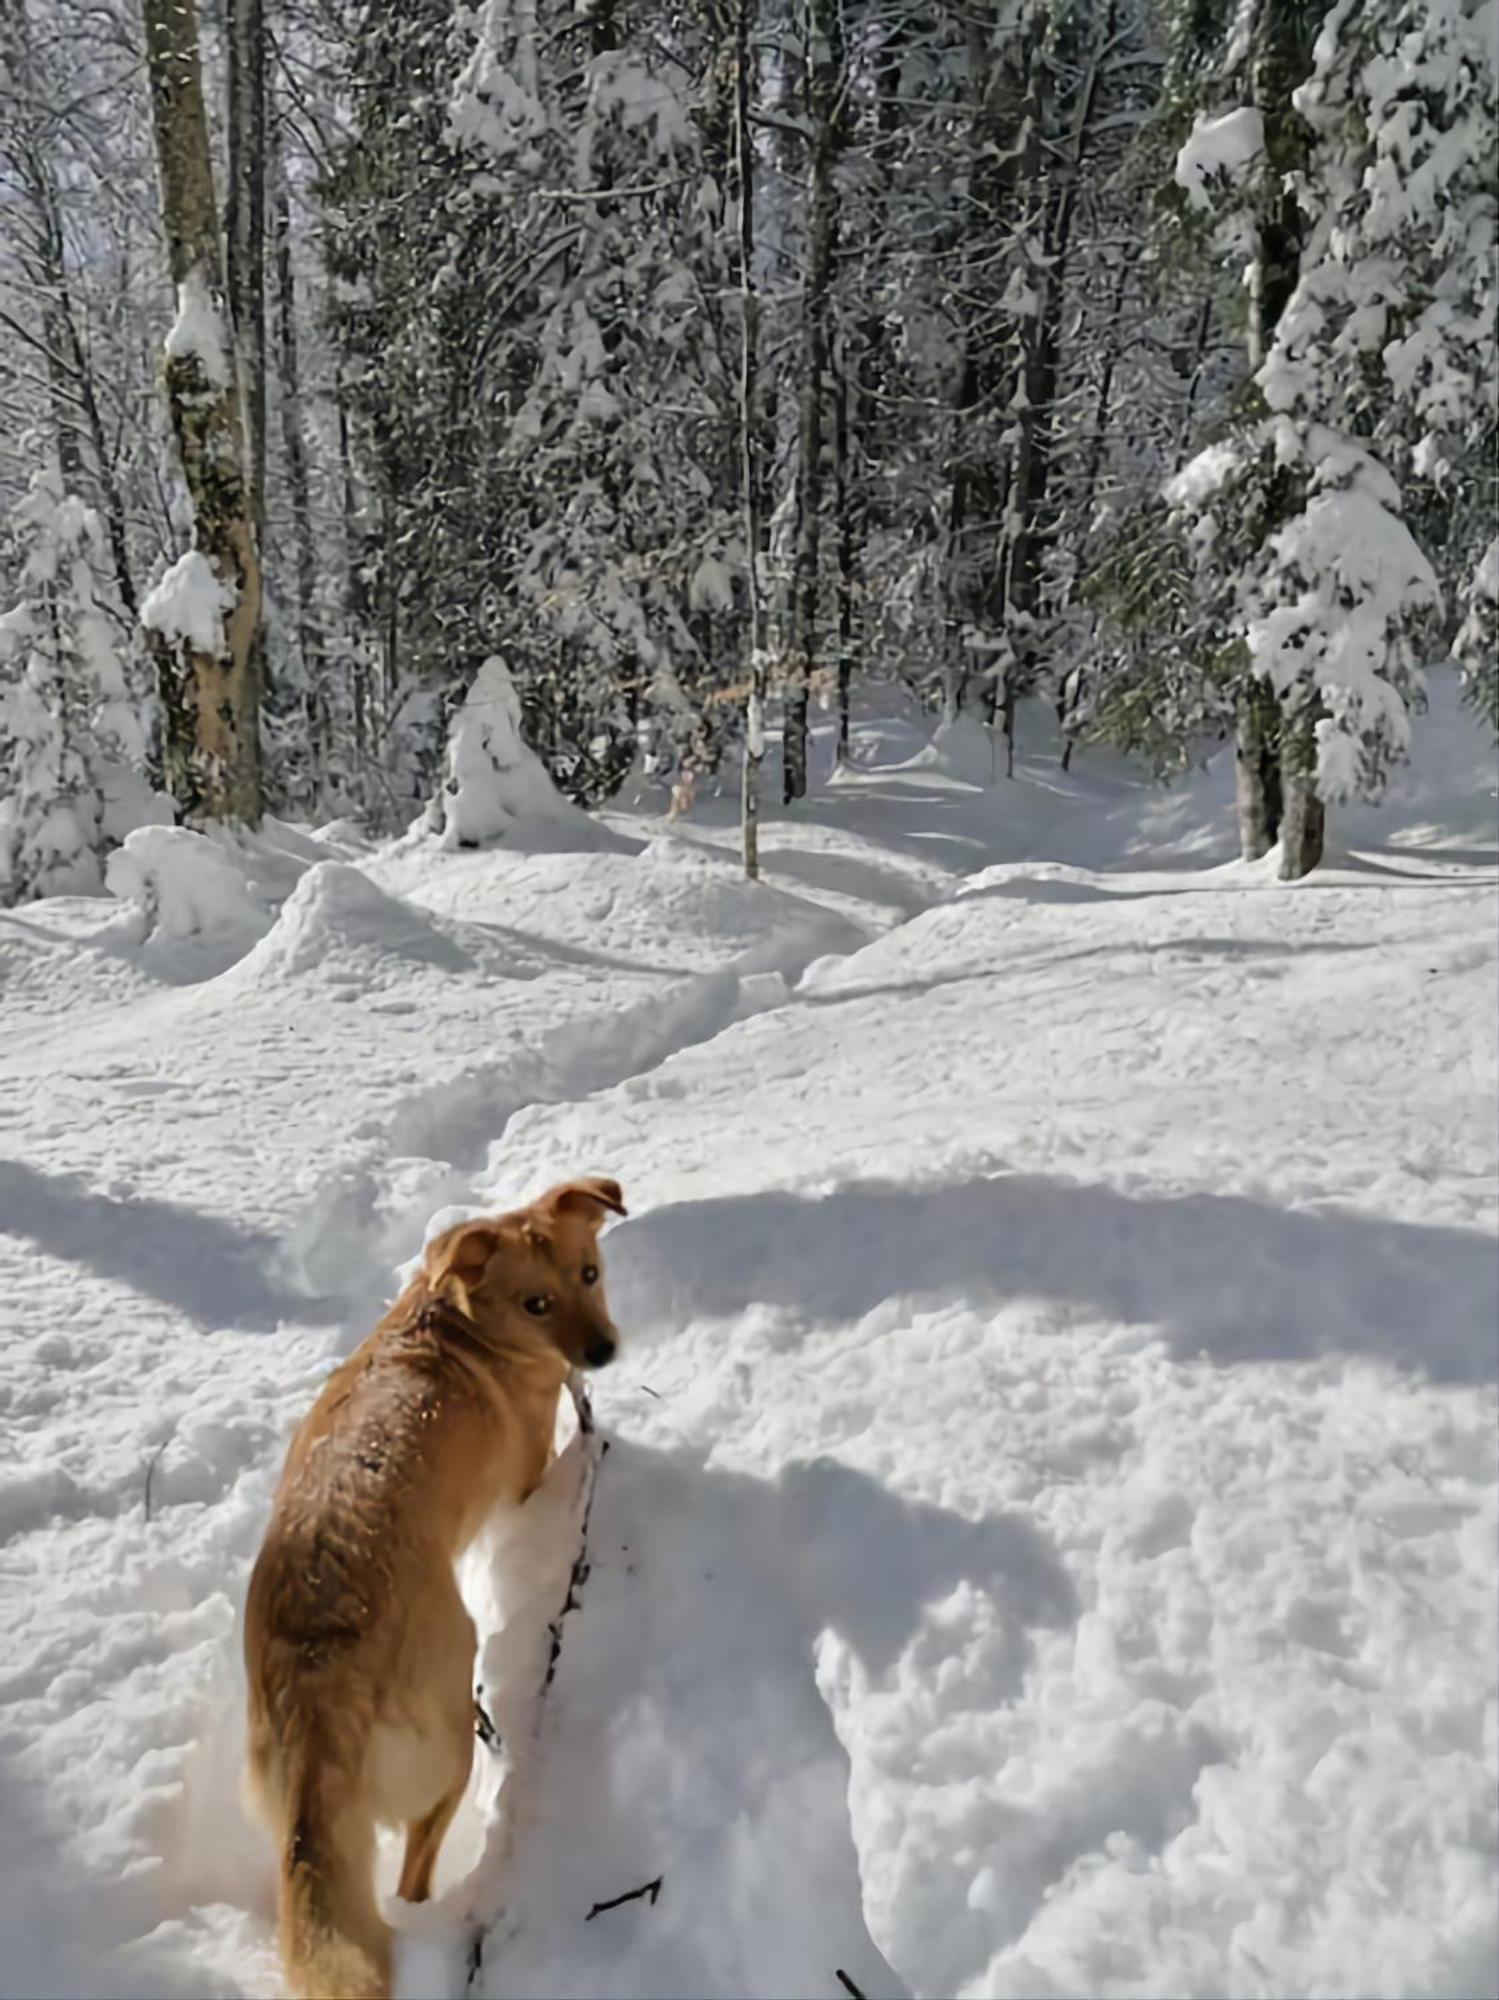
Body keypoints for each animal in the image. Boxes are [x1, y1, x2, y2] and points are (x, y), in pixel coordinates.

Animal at [244, 1176, 627, 1992]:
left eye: (588, 1273)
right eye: (536, 1303)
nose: (604, 1353)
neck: (457, 1319)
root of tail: (320, 1686)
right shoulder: (525, 1476)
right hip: (448, 1739)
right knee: (413, 1870)